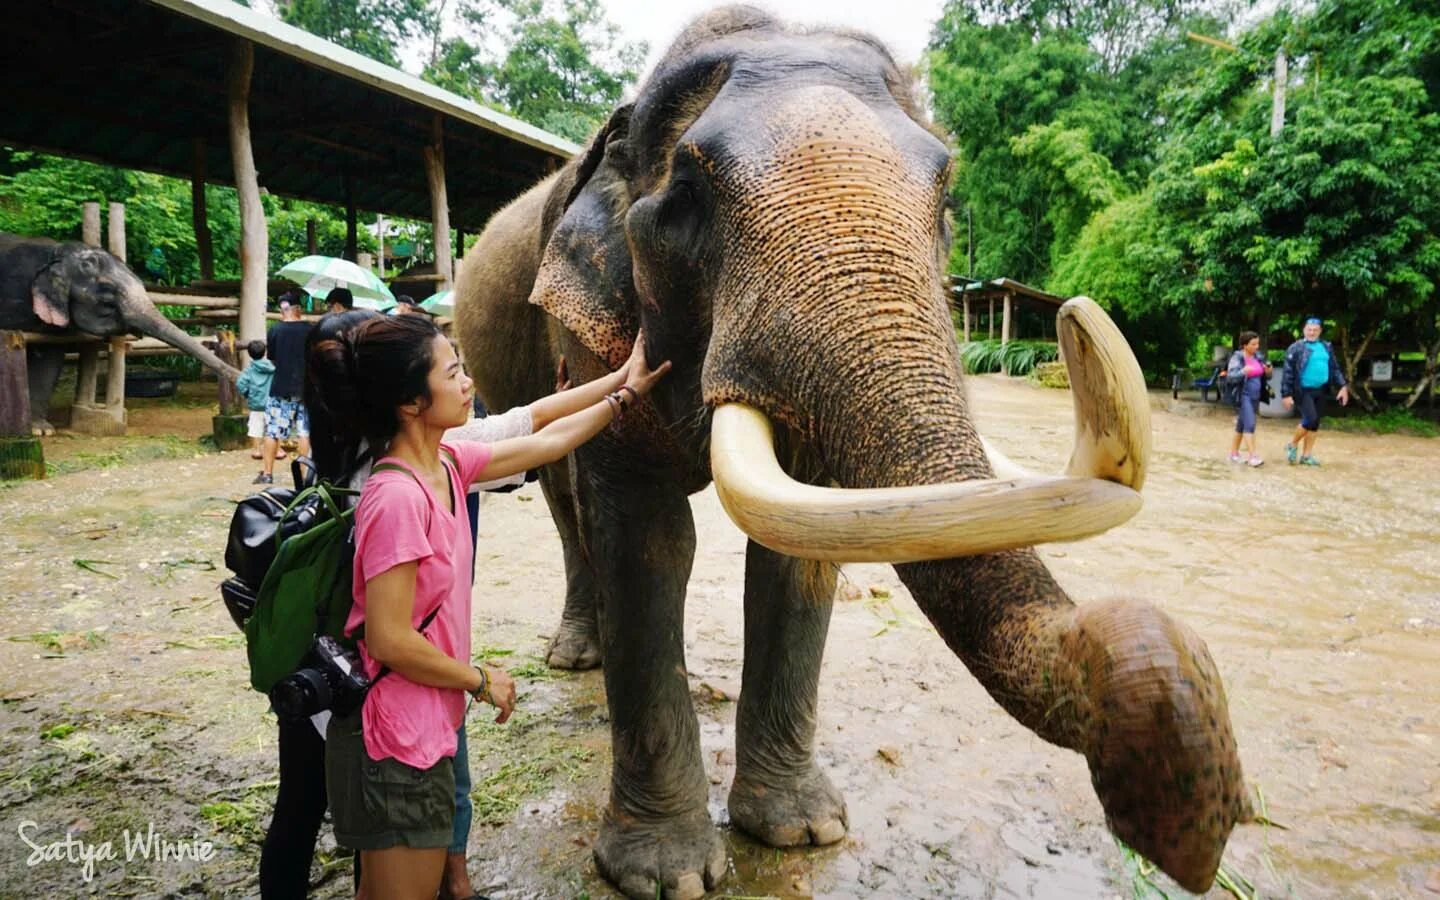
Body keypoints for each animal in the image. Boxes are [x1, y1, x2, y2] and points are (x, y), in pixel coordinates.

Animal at [452, 8, 1249, 898]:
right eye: (686, 199)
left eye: (947, 199)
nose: (1189, 832)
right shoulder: (589, 334)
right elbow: (649, 542)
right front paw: (667, 876)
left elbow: (799, 555)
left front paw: (803, 831)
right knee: (566, 501)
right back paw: (576, 657)